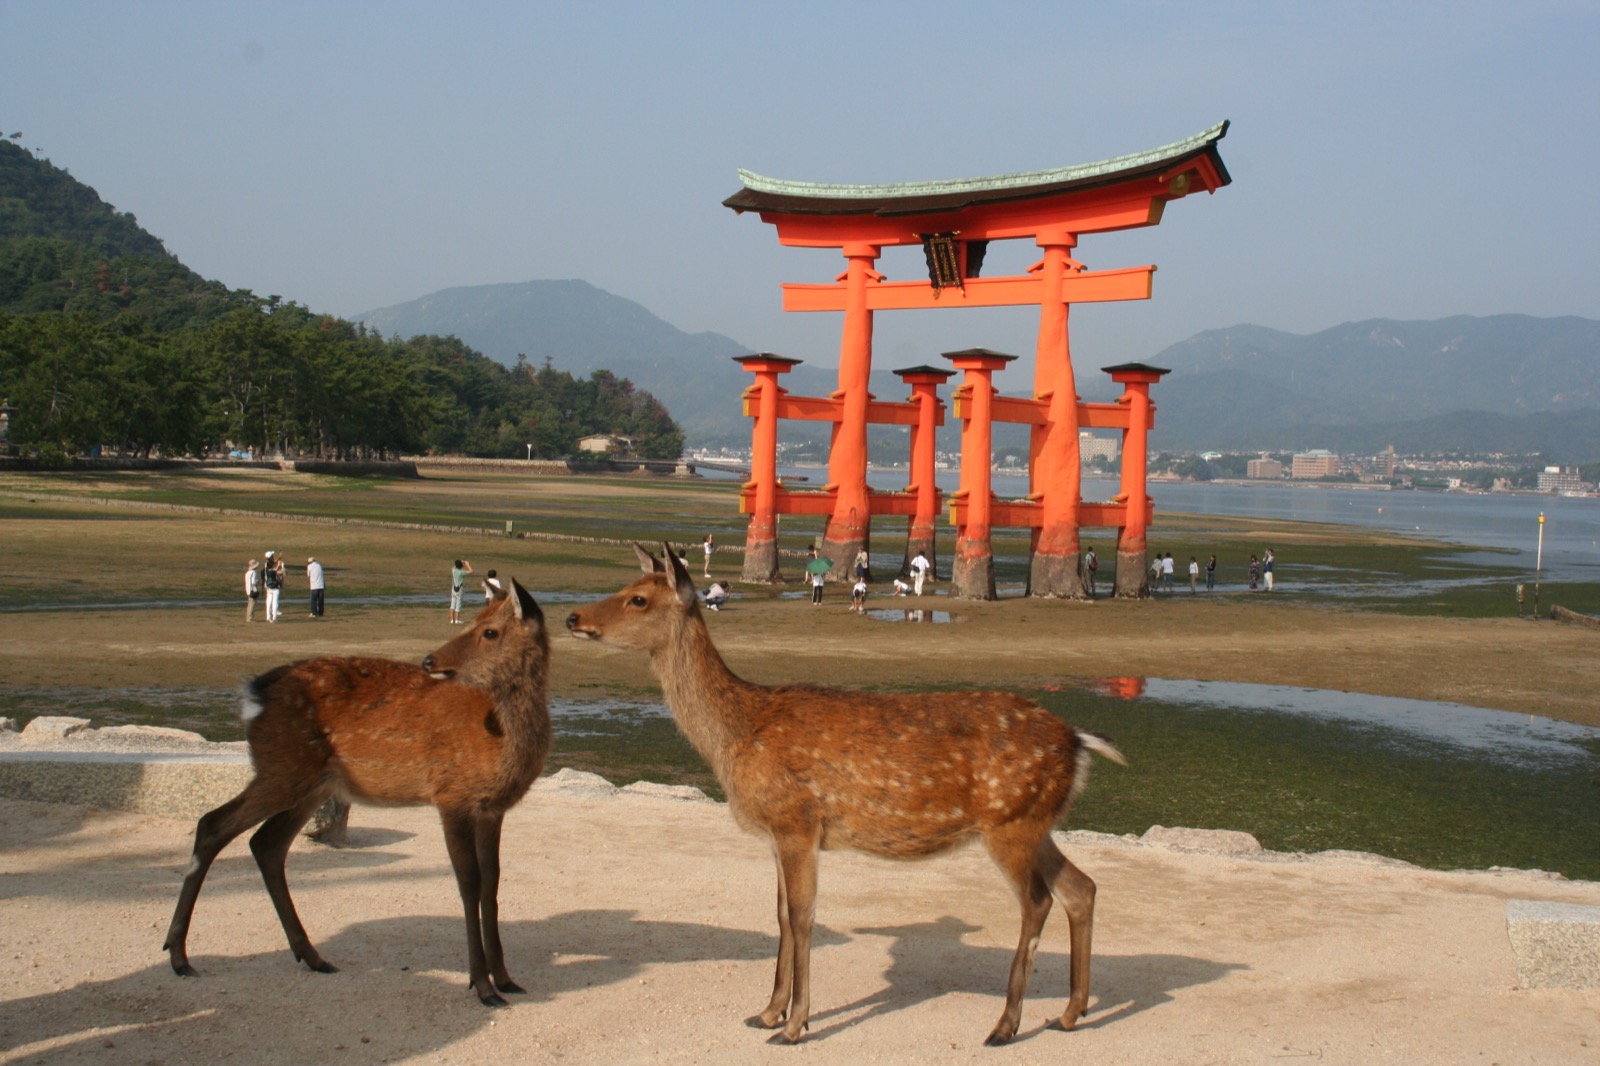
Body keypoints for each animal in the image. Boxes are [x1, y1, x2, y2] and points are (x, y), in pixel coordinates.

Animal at [162, 579, 550, 1008]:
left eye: (490, 631)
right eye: (471, 621)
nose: (429, 660)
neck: (499, 746)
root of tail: (252, 695)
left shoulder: (492, 809)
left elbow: (493, 882)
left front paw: (507, 979)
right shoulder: (451, 794)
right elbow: (469, 883)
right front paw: (482, 986)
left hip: (312, 783)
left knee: (266, 843)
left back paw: (312, 956)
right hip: (281, 769)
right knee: (213, 824)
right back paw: (179, 957)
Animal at [564, 544, 1125, 1046]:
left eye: (638, 598)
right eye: (627, 587)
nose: (571, 616)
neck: (740, 733)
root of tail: (1078, 742)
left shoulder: (796, 819)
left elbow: (803, 917)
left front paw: (794, 1025)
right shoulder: (779, 833)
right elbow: (780, 915)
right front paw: (766, 1012)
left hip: (1010, 821)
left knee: (1038, 900)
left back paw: (1005, 1026)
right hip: (1037, 822)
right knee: (1082, 887)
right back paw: (1070, 1013)